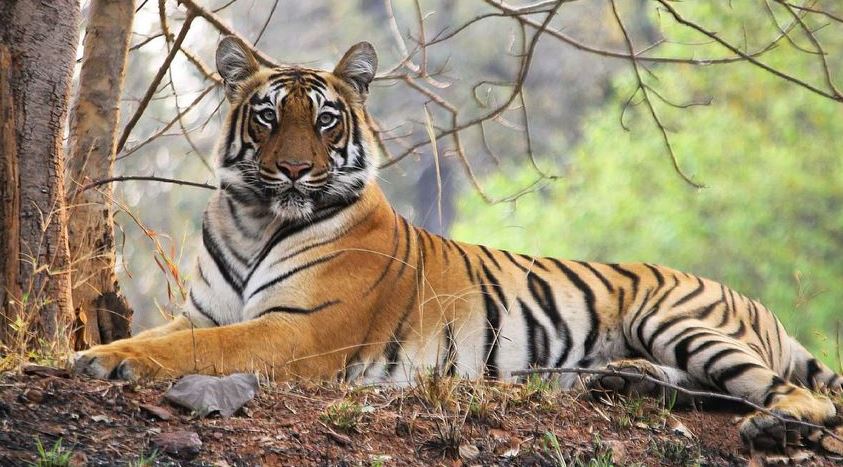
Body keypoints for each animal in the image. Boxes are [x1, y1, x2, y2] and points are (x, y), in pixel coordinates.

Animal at [73, 36, 843, 454]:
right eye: (266, 117)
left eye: (325, 120)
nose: (293, 169)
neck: (255, 217)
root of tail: (761, 306)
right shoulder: (204, 309)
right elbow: (181, 335)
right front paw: (97, 352)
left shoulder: (296, 330)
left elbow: (197, 349)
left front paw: (99, 358)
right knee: (707, 390)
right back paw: (623, 381)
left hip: (679, 319)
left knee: (798, 397)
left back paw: (773, 428)